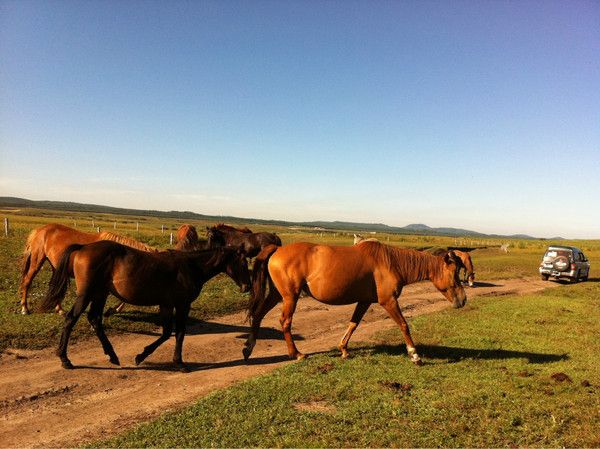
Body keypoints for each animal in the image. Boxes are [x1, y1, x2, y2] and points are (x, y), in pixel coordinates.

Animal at [19, 222, 157, 314]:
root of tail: (39, 230)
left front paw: (114, 309)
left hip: (57, 267)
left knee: (56, 286)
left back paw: (60, 310)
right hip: (37, 261)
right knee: (27, 281)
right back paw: (25, 308)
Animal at [39, 242, 251, 372]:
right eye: (242, 262)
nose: (247, 286)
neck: (191, 267)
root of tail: (82, 248)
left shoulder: (166, 304)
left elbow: (166, 333)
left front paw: (140, 356)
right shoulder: (182, 304)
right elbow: (179, 332)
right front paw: (179, 363)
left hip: (100, 294)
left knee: (95, 319)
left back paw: (112, 356)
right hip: (87, 294)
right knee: (71, 318)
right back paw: (65, 359)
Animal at [245, 242, 468, 364]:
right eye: (454, 274)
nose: (463, 300)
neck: (391, 263)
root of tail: (277, 249)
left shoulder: (364, 301)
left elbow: (353, 324)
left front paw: (344, 349)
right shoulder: (388, 301)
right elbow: (404, 325)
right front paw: (415, 356)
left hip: (277, 295)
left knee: (258, 315)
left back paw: (249, 348)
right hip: (290, 296)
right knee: (285, 322)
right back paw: (296, 354)